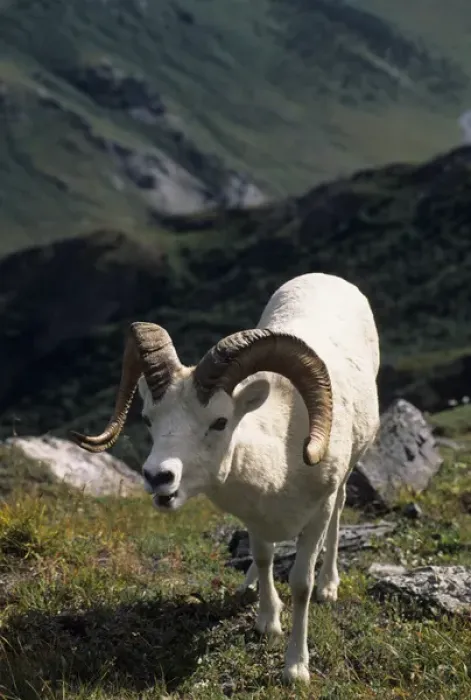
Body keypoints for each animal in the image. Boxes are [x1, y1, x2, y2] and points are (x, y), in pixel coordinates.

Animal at [71, 272, 380, 685]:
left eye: (219, 421)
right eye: (149, 420)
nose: (158, 477)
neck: (282, 455)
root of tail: (327, 278)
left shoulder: (316, 514)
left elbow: (301, 583)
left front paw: (295, 668)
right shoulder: (255, 519)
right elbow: (264, 559)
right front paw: (267, 621)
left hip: (342, 485)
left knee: (339, 515)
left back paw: (329, 587)